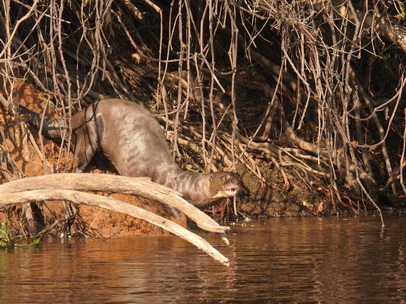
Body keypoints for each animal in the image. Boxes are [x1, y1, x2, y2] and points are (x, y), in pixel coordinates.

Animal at [19, 98, 241, 208]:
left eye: (236, 175)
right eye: (226, 177)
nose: (235, 181)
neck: (182, 184)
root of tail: (77, 116)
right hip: (89, 130)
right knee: (82, 158)